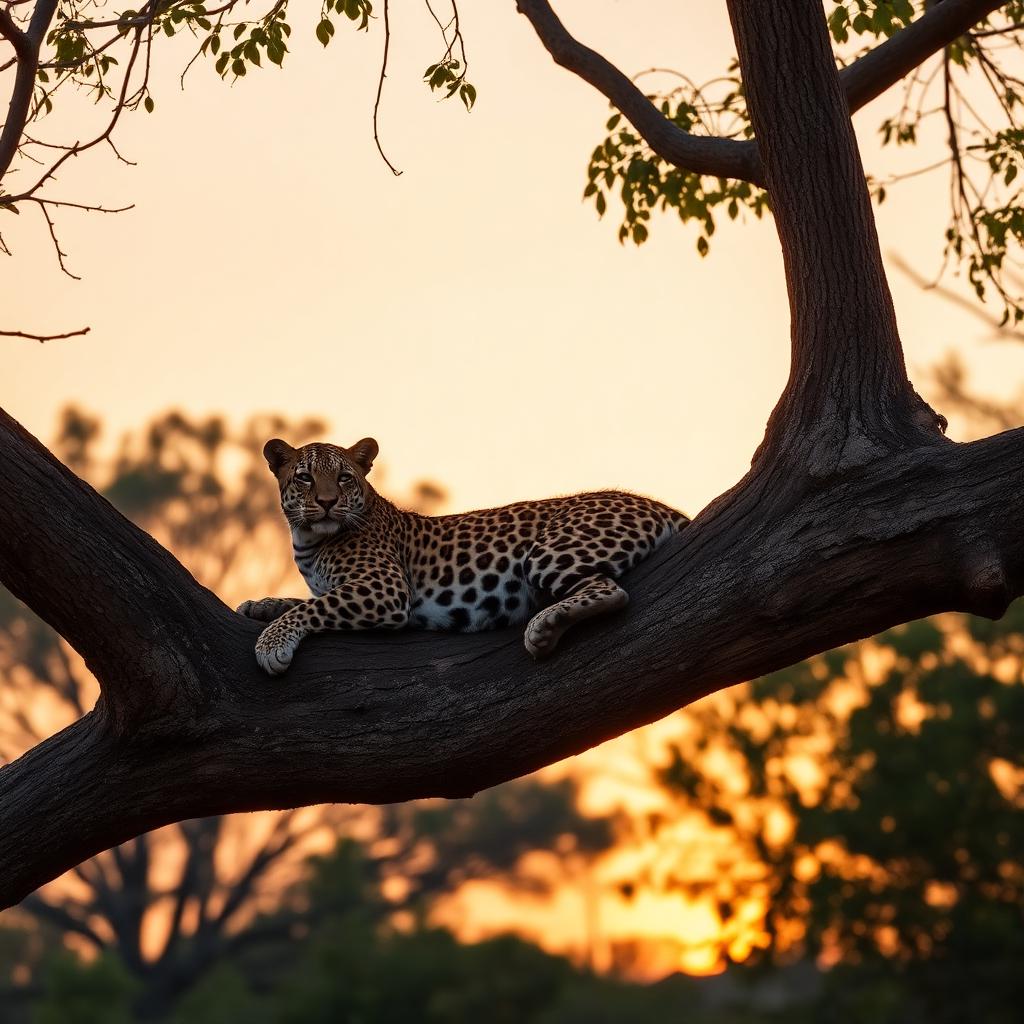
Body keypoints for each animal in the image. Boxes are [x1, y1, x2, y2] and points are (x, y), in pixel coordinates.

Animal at [238, 437, 689, 675]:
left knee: (609, 588)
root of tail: (660, 506)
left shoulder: (383, 589)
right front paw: (258, 604)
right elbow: (300, 600)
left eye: (344, 477)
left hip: (549, 552)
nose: (328, 502)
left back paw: (544, 627)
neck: (308, 542)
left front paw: (271, 644)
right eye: (305, 477)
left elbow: (310, 608)